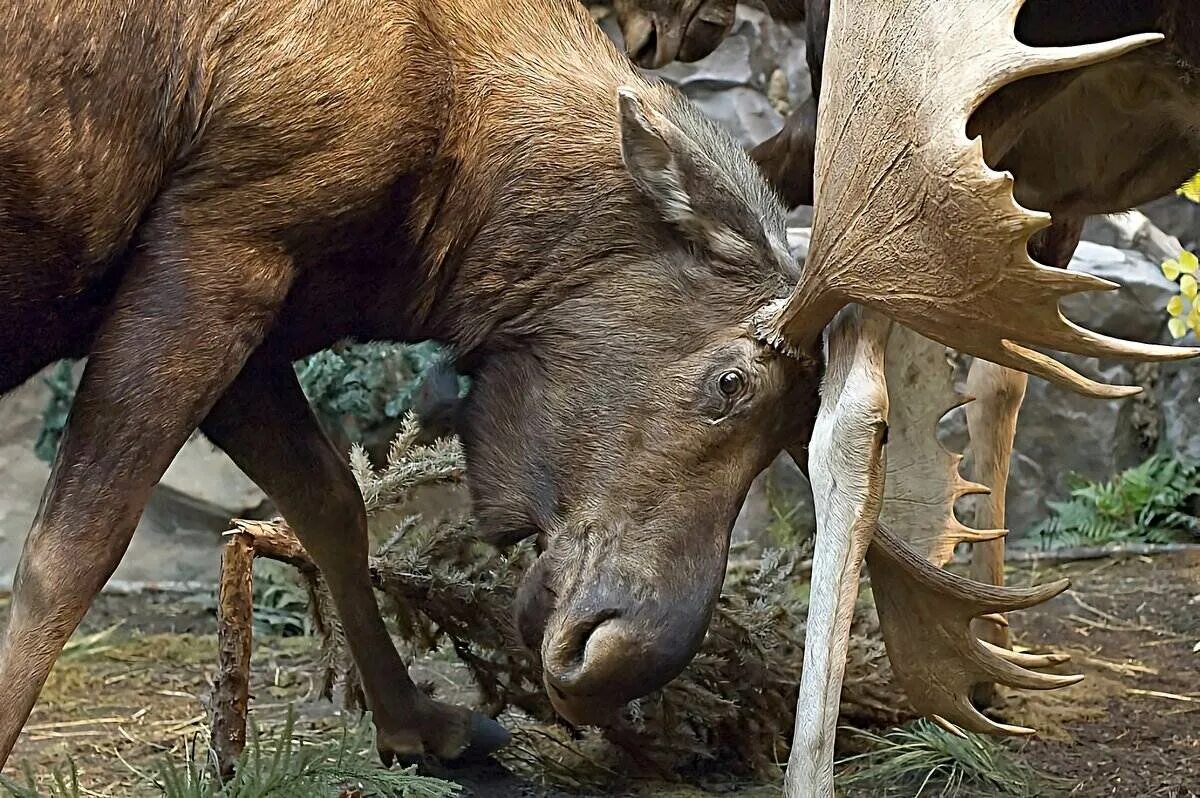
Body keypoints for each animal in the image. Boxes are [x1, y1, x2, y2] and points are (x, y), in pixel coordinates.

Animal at [0, 0, 1195, 792]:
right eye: (732, 383)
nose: (619, 656)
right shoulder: (221, 238)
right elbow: (72, 548)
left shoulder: (255, 300)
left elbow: (331, 503)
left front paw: (422, 725)